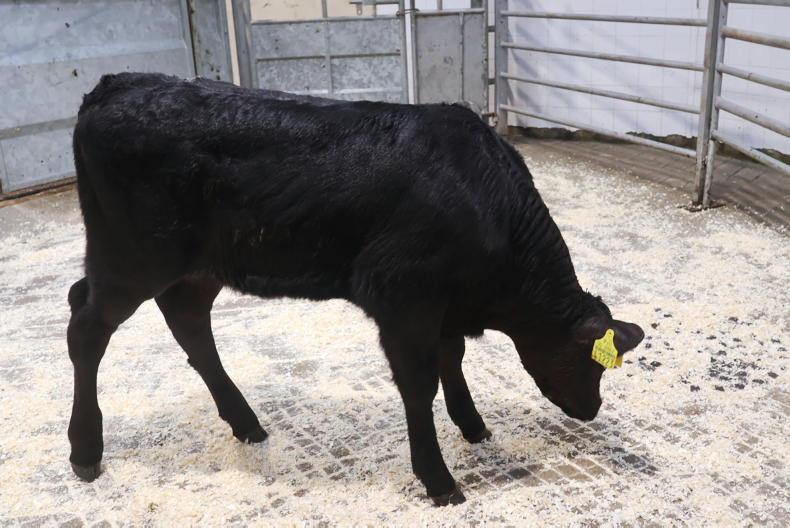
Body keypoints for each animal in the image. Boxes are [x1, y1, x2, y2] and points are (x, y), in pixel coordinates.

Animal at [66, 72, 644, 506]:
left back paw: (246, 423)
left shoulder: (443, 304)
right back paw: (85, 450)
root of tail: (119, 84)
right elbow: (420, 384)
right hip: (132, 257)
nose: (591, 410)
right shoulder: (404, 298)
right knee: (86, 326)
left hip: (198, 267)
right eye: (592, 361)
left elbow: (451, 359)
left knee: (186, 321)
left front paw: (472, 424)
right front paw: (438, 479)